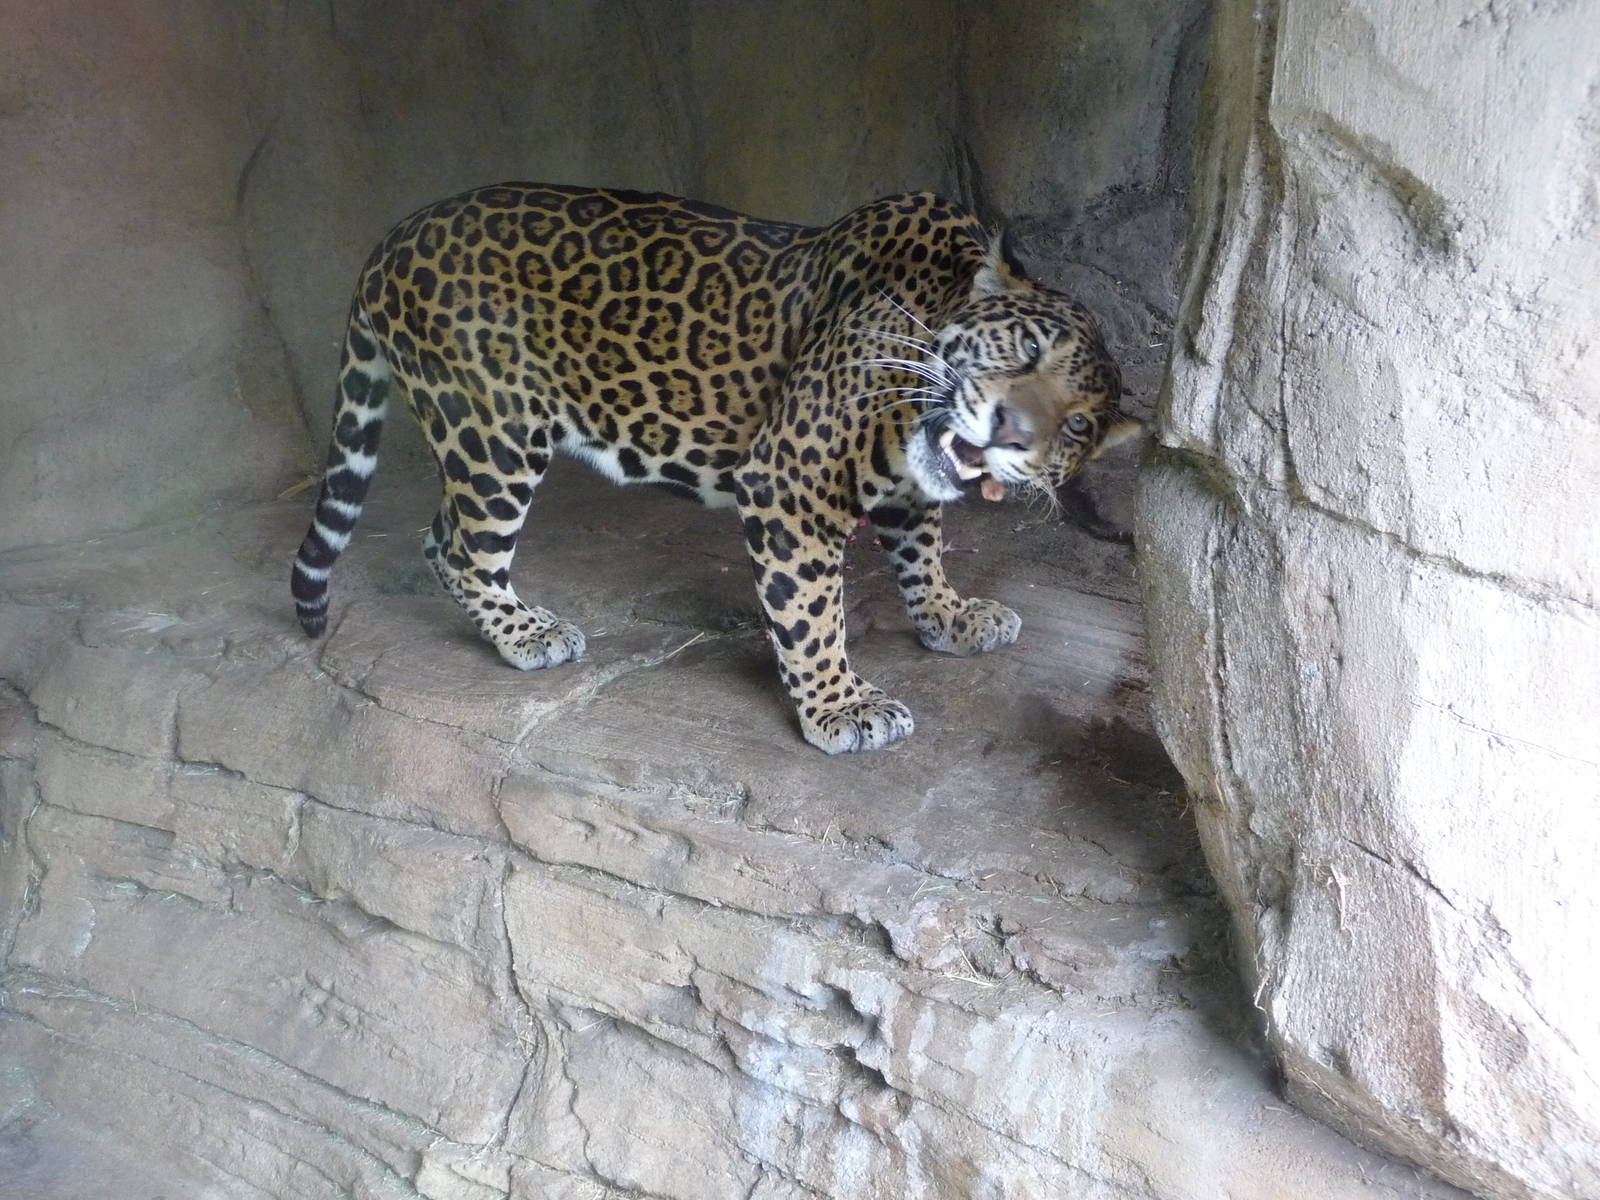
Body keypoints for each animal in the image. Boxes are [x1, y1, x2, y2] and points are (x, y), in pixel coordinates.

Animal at [291, 183, 1138, 754]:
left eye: (1079, 425)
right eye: (1026, 348)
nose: (1010, 431)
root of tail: (394, 236)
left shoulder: (907, 479)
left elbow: (920, 545)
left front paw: (948, 615)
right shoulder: (791, 478)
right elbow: (812, 612)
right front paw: (840, 708)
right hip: (492, 428)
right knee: (458, 544)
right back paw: (527, 633)